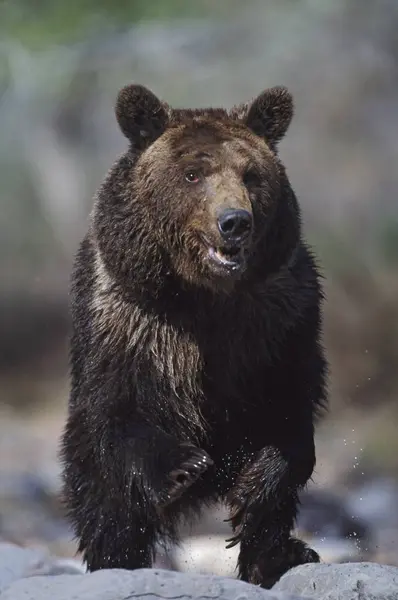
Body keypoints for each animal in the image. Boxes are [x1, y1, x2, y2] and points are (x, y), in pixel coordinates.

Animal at [58, 82, 326, 588]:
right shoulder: (133, 321)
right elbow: (120, 408)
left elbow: (291, 410)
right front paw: (184, 468)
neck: (204, 297)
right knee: (103, 500)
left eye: (251, 174)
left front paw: (257, 484)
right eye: (191, 173)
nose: (234, 221)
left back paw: (281, 555)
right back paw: (116, 560)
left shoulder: (280, 321)